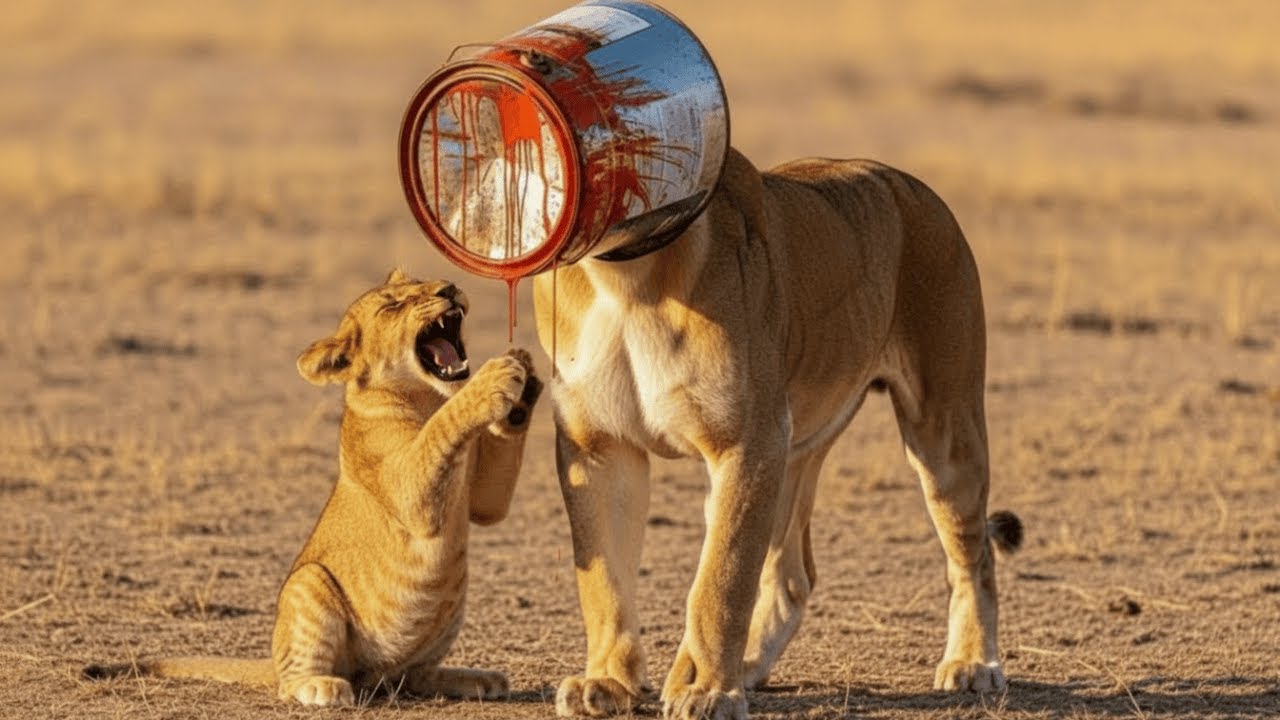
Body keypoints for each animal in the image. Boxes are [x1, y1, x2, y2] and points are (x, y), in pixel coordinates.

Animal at [84, 268, 543, 707]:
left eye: (424, 282)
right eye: (392, 305)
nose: (448, 288)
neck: (428, 396)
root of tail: (373, 677)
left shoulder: (483, 500)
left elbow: (489, 491)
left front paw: (525, 376)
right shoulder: (412, 492)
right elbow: (441, 429)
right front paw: (494, 378)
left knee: (415, 677)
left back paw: (479, 678)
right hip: (310, 583)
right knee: (296, 681)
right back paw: (322, 686)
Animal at [534, 149, 1023, 719]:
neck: (625, 276)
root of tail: (908, 182)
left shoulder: (748, 441)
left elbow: (721, 579)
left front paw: (706, 690)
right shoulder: (599, 447)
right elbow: (603, 578)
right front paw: (609, 681)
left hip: (942, 427)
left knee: (974, 553)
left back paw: (973, 663)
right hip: (793, 451)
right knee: (792, 574)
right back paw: (744, 665)